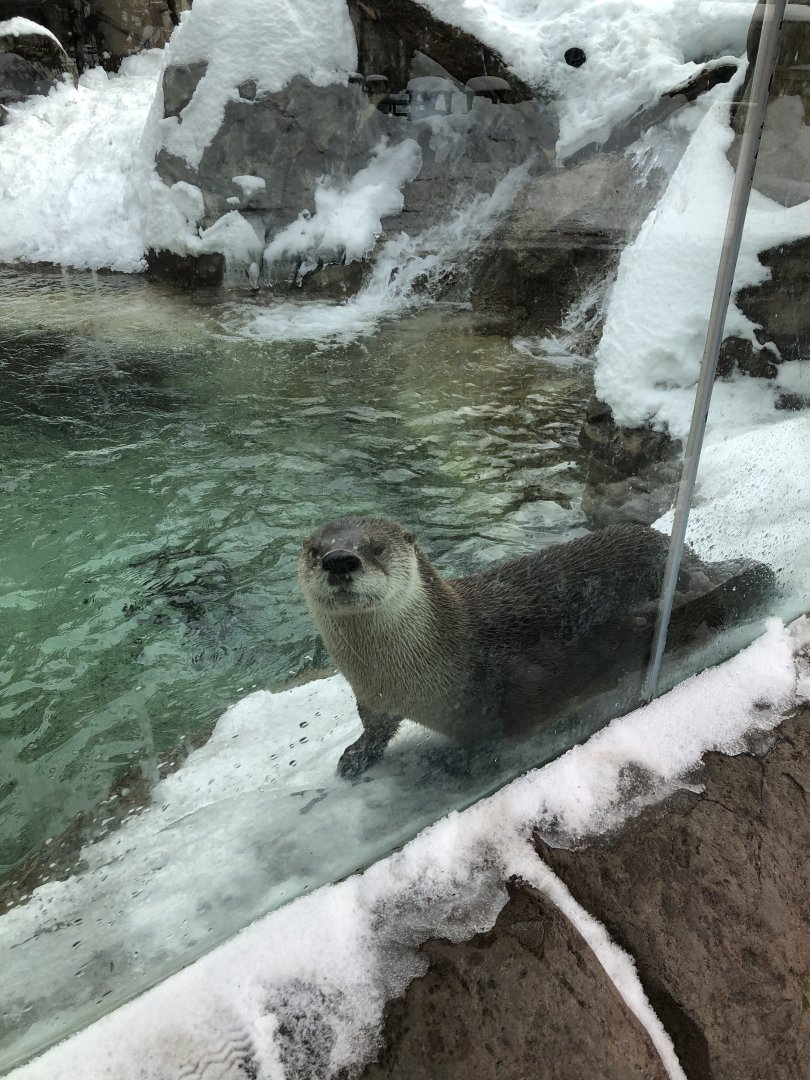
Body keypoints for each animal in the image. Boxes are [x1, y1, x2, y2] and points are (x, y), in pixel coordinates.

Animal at [299, 516, 774, 778]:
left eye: (376, 548)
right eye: (314, 550)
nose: (339, 560)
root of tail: (692, 558)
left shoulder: (499, 681)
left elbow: (511, 726)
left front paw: (464, 760)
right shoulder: (371, 695)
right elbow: (374, 726)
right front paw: (358, 754)